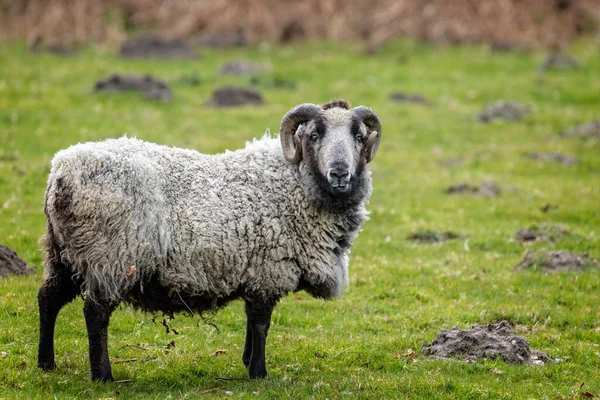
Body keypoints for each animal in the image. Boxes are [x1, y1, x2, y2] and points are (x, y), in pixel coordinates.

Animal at [37, 98, 382, 380]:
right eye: (314, 135)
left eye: (359, 136)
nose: (340, 174)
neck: (293, 181)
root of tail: (61, 174)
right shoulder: (268, 269)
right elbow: (261, 323)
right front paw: (259, 372)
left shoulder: (255, 271)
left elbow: (252, 322)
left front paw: (247, 360)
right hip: (112, 254)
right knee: (96, 313)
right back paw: (103, 376)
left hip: (64, 252)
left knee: (48, 298)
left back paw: (46, 364)